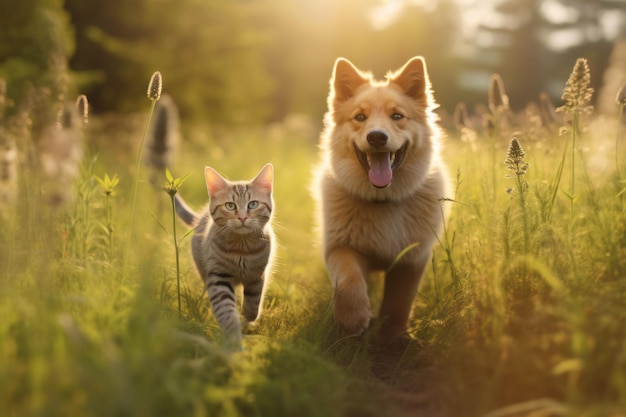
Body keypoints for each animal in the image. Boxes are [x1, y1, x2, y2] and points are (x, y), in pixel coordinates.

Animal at [174, 164, 274, 346]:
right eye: (230, 206)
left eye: (253, 204)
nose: (242, 217)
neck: (242, 249)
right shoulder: (218, 277)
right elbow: (226, 311)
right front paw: (234, 340)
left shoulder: (258, 275)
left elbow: (253, 305)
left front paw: (247, 320)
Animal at [312, 57, 448, 340]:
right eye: (360, 117)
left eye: (397, 116)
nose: (376, 137)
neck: (383, 199)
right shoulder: (340, 248)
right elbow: (349, 280)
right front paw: (353, 319)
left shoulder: (412, 260)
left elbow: (399, 301)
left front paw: (393, 335)